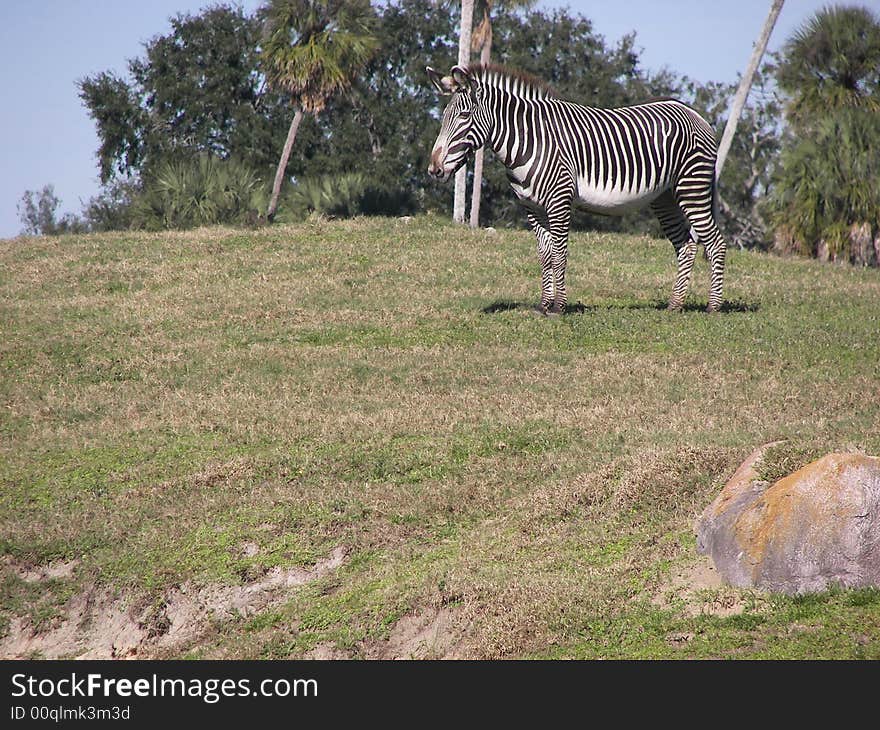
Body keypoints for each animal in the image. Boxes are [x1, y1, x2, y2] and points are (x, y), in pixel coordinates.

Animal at [426, 63, 728, 312]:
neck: (530, 140)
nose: (434, 169)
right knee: (686, 246)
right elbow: (545, 256)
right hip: (665, 198)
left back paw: (713, 307)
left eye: (464, 116)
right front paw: (544, 305)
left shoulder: (559, 201)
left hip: (692, 187)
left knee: (716, 243)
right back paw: (674, 305)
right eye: (444, 116)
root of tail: (695, 113)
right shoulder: (533, 208)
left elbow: (560, 255)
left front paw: (559, 307)